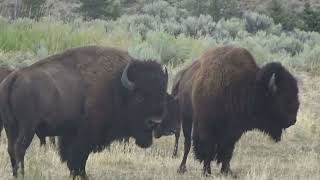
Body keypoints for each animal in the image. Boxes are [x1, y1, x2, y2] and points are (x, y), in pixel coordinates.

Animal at [0, 46, 170, 179]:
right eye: (139, 97)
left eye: (162, 95)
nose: (154, 122)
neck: (116, 87)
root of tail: (14, 77)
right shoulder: (84, 137)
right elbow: (78, 160)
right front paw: (82, 175)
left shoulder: (69, 135)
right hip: (26, 128)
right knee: (19, 148)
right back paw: (23, 175)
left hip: (11, 126)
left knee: (11, 149)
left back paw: (16, 175)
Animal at [189, 46, 298, 176]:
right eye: (284, 98)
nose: (293, 120)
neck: (249, 86)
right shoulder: (208, 128)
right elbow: (209, 150)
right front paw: (207, 172)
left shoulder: (233, 132)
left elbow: (227, 152)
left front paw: (227, 171)